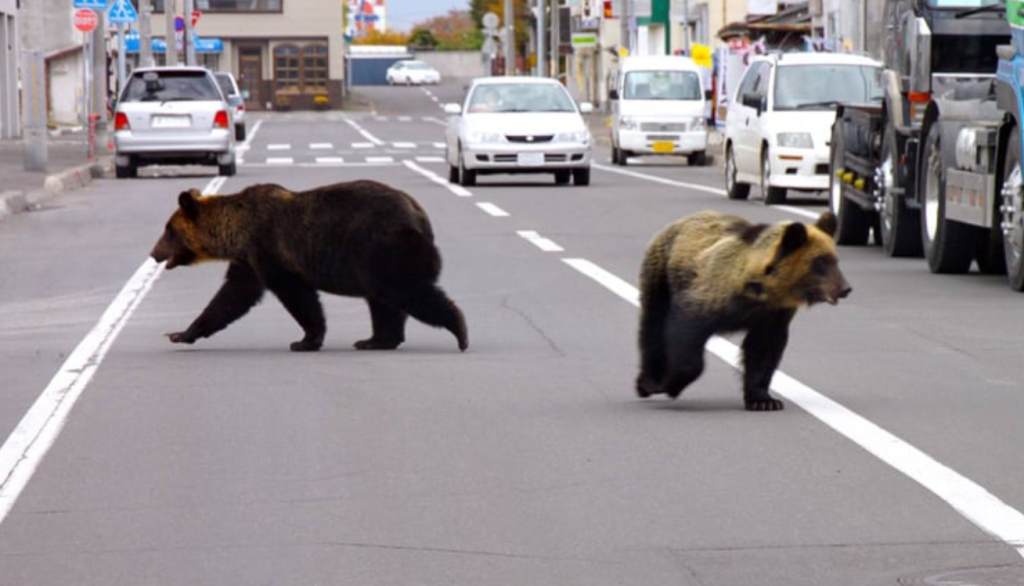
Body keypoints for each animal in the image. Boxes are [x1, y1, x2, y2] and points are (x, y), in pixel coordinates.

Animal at [150, 180, 468, 353]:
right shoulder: (248, 261)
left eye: (168, 230)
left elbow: (297, 295)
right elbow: (231, 297)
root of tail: (419, 215)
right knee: (383, 301)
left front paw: (305, 340)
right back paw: (375, 340)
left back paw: (460, 331)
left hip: (381, 247)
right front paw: (181, 333)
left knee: (405, 291)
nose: (153, 253)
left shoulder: (269, 249)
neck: (236, 232)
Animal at [635, 210, 850, 411]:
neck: (760, 290)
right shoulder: (708, 295)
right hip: (661, 273)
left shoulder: (773, 314)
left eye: (836, 259)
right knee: (653, 323)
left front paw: (764, 400)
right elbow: (685, 332)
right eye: (820, 261)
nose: (845, 288)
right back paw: (647, 382)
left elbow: (763, 350)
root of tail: (680, 221)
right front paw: (671, 384)